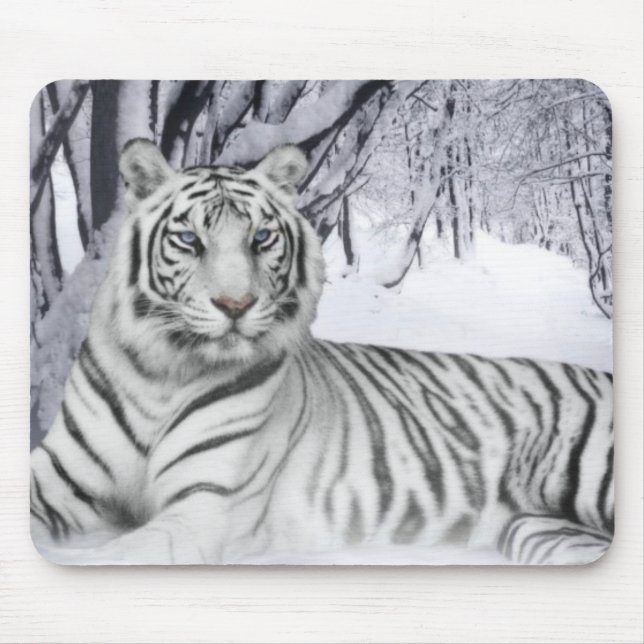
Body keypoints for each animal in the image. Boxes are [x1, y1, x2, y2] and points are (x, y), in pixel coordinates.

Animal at [30, 139, 614, 565]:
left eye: (261, 239)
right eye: (190, 241)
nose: (236, 305)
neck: (162, 371)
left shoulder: (203, 508)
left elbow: (111, 557)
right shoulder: (60, 477)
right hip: (542, 531)